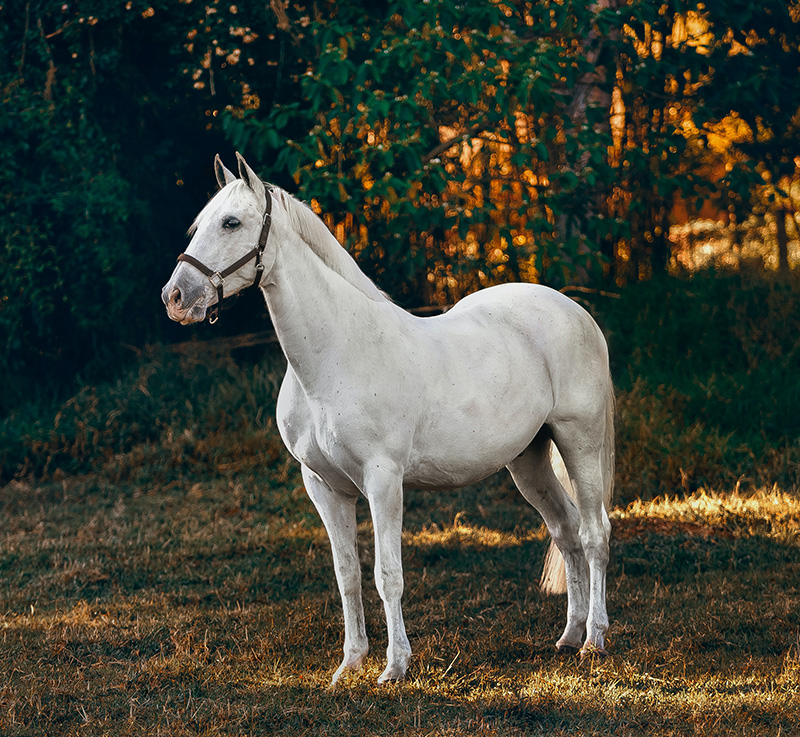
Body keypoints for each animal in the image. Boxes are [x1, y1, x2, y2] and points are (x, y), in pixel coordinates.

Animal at [161, 153, 615, 685]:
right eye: (199, 225)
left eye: (231, 222)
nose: (175, 297)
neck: (335, 355)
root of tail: (575, 311)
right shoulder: (324, 487)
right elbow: (347, 576)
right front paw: (350, 663)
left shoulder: (383, 480)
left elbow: (387, 575)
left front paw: (394, 666)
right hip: (528, 460)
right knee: (565, 531)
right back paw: (568, 636)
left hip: (579, 441)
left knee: (594, 533)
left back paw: (594, 639)